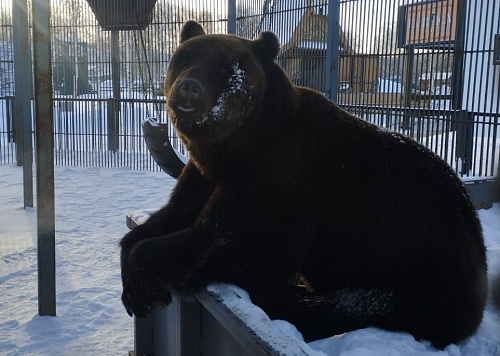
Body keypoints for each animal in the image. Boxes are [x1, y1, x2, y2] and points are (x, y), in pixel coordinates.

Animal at [121, 19, 488, 348]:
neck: (236, 144)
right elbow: (173, 216)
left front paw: (146, 279)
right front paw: (133, 283)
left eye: (228, 67)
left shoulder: (279, 181)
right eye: (184, 57)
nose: (189, 87)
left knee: (349, 306)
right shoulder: (205, 173)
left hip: (419, 267)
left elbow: (232, 240)